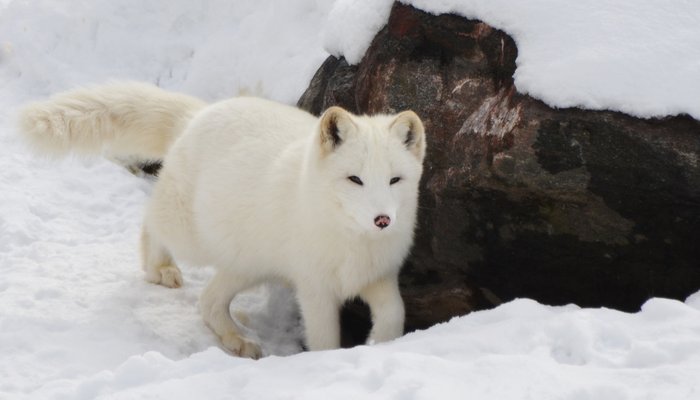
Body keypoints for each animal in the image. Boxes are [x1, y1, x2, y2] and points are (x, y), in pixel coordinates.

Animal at [19, 83, 426, 358]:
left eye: (395, 180)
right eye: (355, 179)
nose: (383, 220)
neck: (352, 242)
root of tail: (199, 115)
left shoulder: (379, 276)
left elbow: (395, 314)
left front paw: (383, 345)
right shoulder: (315, 288)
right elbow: (324, 340)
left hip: (247, 264)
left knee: (208, 302)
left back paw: (237, 340)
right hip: (193, 238)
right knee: (151, 221)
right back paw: (159, 268)